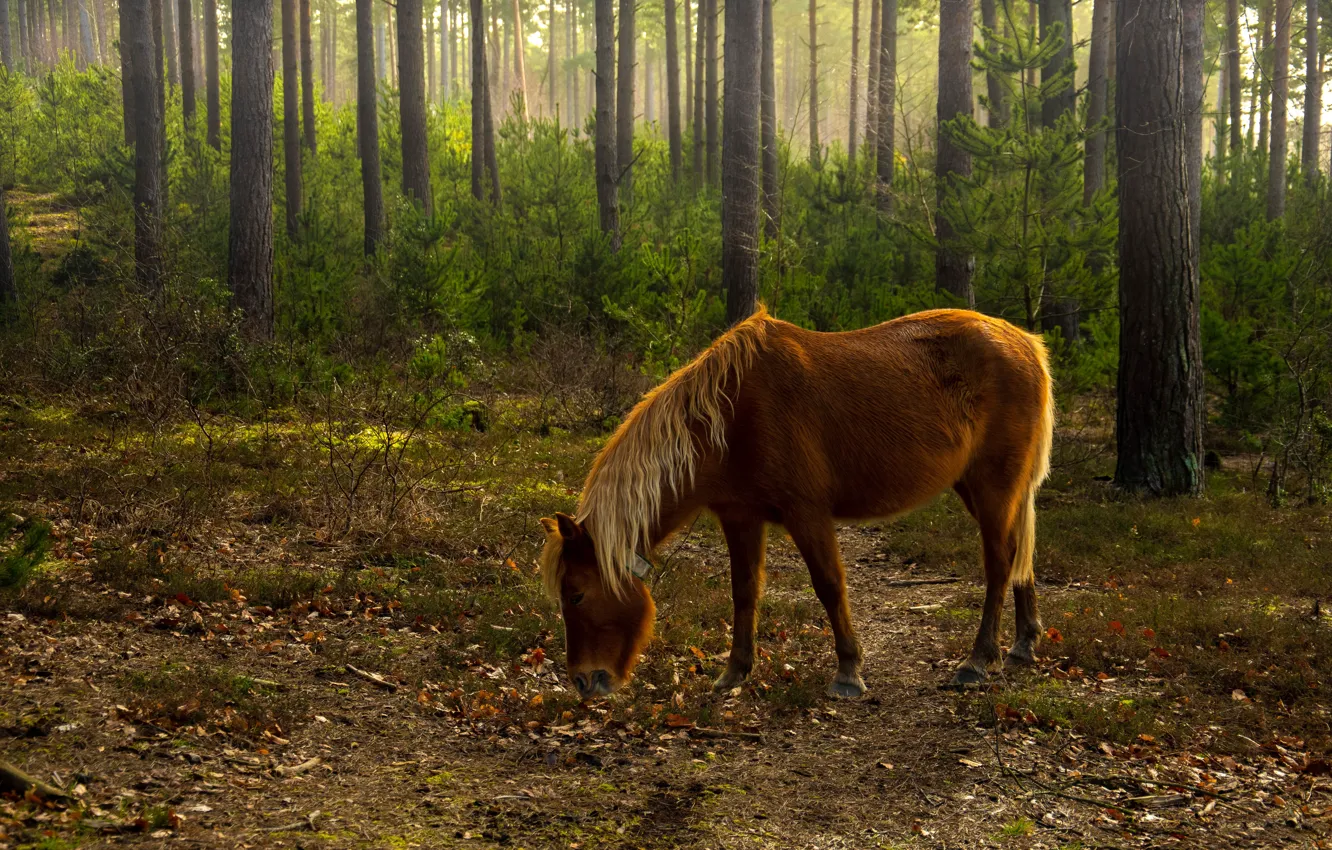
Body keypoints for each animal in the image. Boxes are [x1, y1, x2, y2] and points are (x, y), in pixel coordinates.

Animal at [540, 306, 1054, 699]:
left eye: (577, 593)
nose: (583, 681)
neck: (730, 416)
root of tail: (1025, 342)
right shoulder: (740, 518)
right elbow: (744, 591)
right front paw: (735, 671)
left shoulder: (807, 514)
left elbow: (829, 586)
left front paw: (848, 672)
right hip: (983, 489)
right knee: (1020, 555)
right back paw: (1023, 644)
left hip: (994, 486)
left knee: (999, 563)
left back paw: (977, 660)